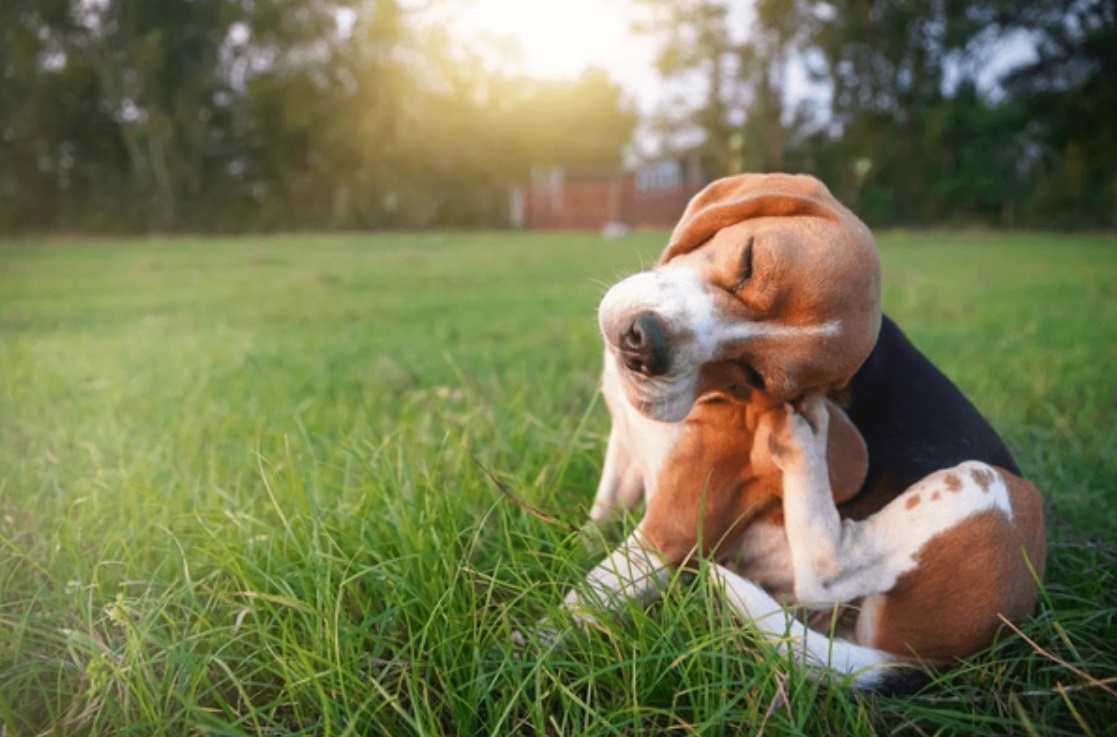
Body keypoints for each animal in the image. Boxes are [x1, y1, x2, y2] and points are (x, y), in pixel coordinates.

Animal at [558, 173, 1045, 692]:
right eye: (748, 262)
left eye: (755, 377)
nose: (643, 346)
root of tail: (920, 661)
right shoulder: (624, 448)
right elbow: (601, 515)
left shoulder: (672, 531)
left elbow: (576, 605)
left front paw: (530, 649)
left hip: (990, 489)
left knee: (829, 570)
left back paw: (802, 443)